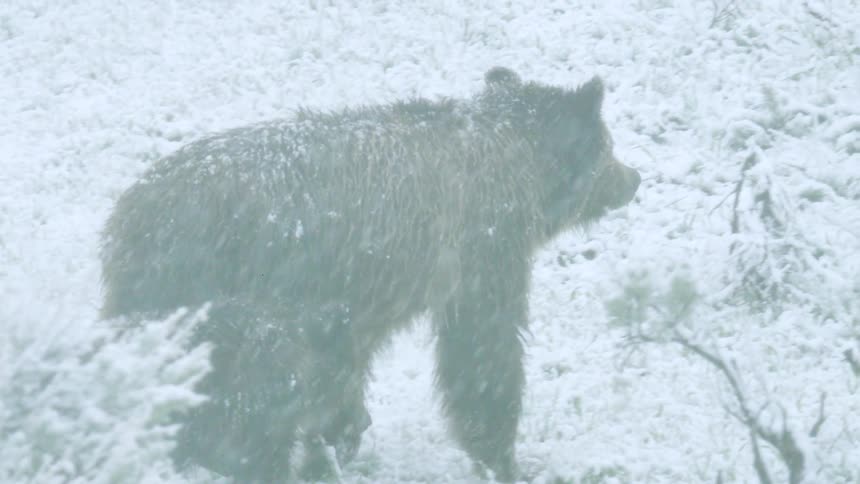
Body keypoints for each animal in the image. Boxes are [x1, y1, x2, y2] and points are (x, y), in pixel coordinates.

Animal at [100, 66, 640, 481]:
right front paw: (504, 457)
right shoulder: (479, 249)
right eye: (609, 146)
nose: (633, 178)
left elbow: (344, 366)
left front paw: (341, 435)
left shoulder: (357, 297)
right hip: (223, 296)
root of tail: (129, 217)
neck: (513, 167)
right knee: (252, 387)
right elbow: (484, 350)